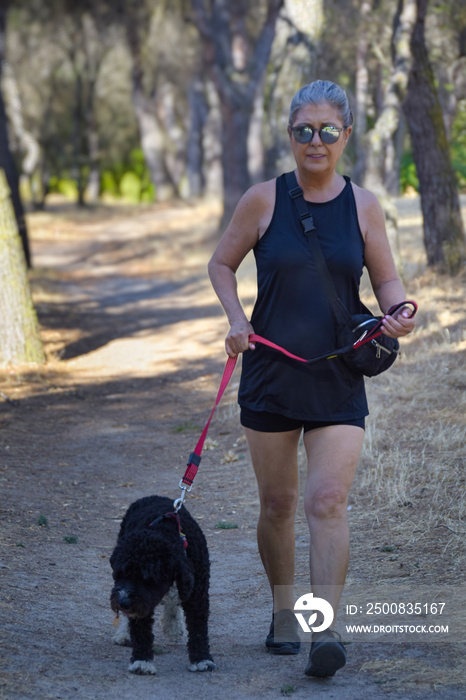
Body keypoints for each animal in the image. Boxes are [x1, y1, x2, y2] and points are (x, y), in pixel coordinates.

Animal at [110, 494, 216, 676]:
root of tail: (152, 496)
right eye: (120, 573)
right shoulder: (141, 602)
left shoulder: (197, 595)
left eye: (147, 577)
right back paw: (124, 634)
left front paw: (202, 659)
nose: (123, 602)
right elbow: (141, 630)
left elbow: (198, 628)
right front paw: (142, 662)